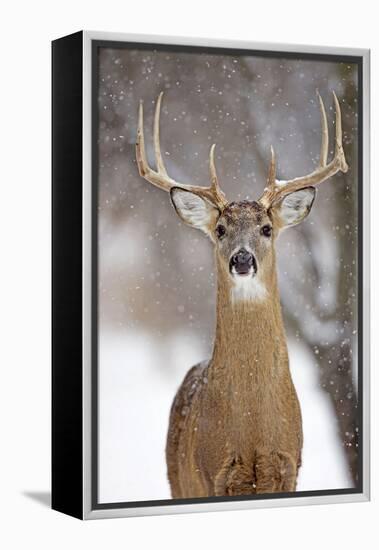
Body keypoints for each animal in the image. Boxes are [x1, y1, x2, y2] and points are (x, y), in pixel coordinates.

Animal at [136, 91, 348, 500]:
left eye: (266, 228)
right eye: (220, 229)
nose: (243, 259)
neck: (252, 428)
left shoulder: (288, 467)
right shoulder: (212, 474)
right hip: (177, 481)